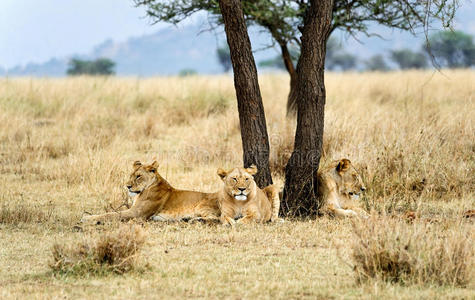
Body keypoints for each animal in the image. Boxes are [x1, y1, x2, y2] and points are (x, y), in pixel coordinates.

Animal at [82, 161, 221, 224]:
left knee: (217, 218)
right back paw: (187, 218)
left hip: (201, 206)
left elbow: (110, 214)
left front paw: (87, 217)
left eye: (138, 176)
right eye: (131, 175)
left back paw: (196, 220)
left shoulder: (137, 213)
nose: (128, 186)